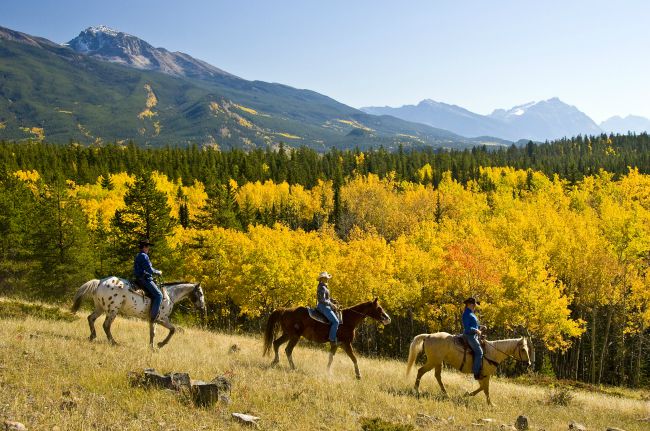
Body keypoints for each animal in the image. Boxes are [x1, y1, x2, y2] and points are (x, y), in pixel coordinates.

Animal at [70, 278, 204, 350]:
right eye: (201, 293)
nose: (202, 307)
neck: (169, 295)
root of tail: (100, 282)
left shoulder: (153, 320)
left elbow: (153, 333)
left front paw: (153, 346)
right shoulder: (161, 319)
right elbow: (173, 330)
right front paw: (160, 344)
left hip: (100, 308)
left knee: (91, 318)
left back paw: (92, 336)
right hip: (112, 310)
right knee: (106, 325)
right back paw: (113, 342)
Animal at [262, 298, 390, 380]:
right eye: (379, 308)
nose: (387, 318)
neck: (348, 320)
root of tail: (285, 310)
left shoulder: (337, 344)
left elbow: (331, 358)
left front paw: (328, 372)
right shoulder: (346, 344)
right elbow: (354, 358)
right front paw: (358, 376)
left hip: (288, 334)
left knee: (276, 343)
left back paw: (275, 361)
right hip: (294, 336)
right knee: (288, 350)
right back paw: (293, 367)